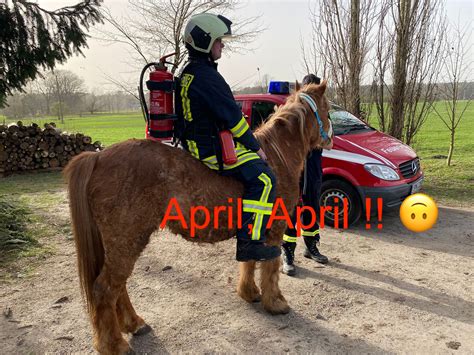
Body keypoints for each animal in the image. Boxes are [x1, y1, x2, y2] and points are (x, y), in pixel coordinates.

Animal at [64, 82, 330, 354]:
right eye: (328, 108)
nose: (330, 139)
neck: (277, 156)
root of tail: (97, 157)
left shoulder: (254, 233)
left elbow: (249, 261)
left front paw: (250, 292)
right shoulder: (274, 231)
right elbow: (271, 268)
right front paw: (275, 302)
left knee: (119, 287)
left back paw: (134, 324)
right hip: (126, 241)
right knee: (105, 289)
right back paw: (114, 344)